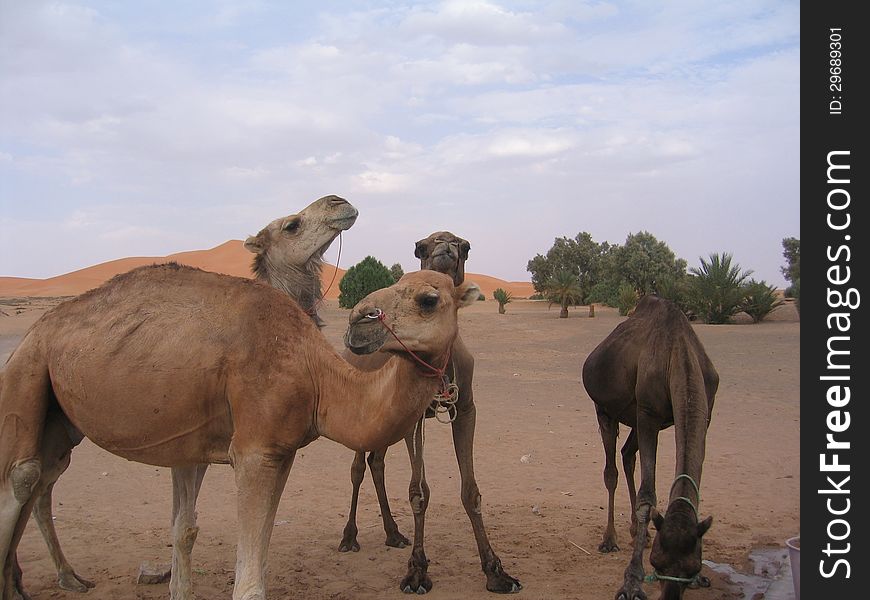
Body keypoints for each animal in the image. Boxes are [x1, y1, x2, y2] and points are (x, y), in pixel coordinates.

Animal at [17, 196, 360, 596]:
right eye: (292, 225)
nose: (339, 203)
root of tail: (34, 330)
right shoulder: (184, 436)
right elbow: (183, 525)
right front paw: (174, 583)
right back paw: (56, 576)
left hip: (66, 426)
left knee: (43, 487)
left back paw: (64, 576)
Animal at [338, 232, 520, 592]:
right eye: (421, 246)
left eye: (428, 300)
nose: (359, 319)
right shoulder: (414, 420)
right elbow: (418, 492)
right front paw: (417, 572)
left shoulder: (466, 409)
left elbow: (471, 491)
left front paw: (496, 571)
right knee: (358, 468)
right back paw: (349, 537)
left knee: (376, 462)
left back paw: (393, 533)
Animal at [584, 296, 720, 600]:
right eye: (656, 564)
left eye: (692, 567)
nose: (670, 595)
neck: (679, 356)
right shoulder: (648, 413)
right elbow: (648, 496)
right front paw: (632, 582)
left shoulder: (705, 414)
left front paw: (701, 579)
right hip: (606, 409)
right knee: (611, 470)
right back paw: (610, 539)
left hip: (635, 418)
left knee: (627, 455)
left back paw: (639, 532)